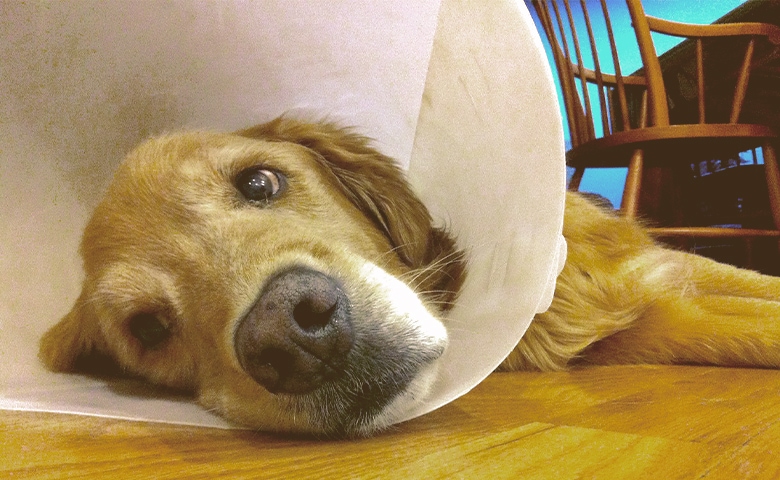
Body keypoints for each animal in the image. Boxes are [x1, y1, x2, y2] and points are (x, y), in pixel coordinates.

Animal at [39, 118, 780, 436]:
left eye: (259, 182)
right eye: (147, 328)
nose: (292, 338)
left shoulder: (672, 268)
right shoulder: (659, 320)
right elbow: (754, 326)